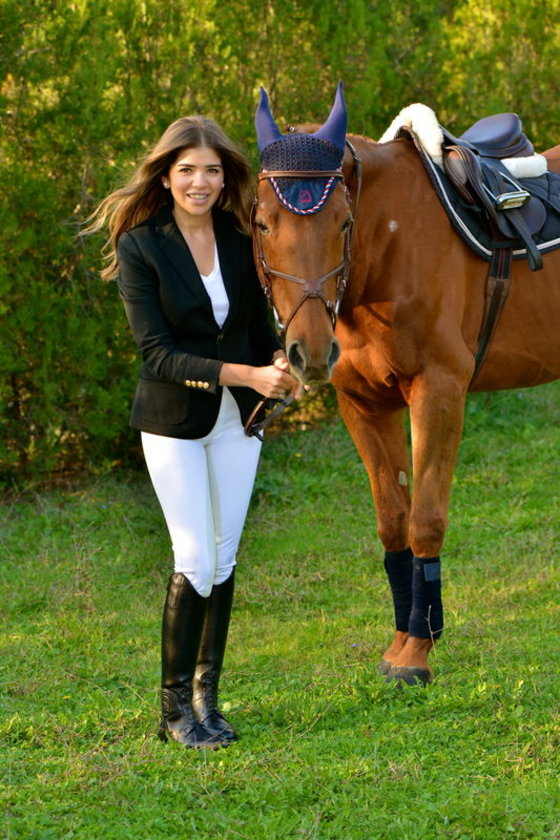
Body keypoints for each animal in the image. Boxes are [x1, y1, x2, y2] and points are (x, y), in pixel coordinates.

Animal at [252, 85, 560, 685]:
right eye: (263, 224)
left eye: (344, 223)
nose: (309, 351)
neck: (387, 255)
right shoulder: (364, 405)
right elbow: (393, 521)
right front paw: (402, 641)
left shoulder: (439, 391)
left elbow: (426, 520)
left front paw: (418, 651)